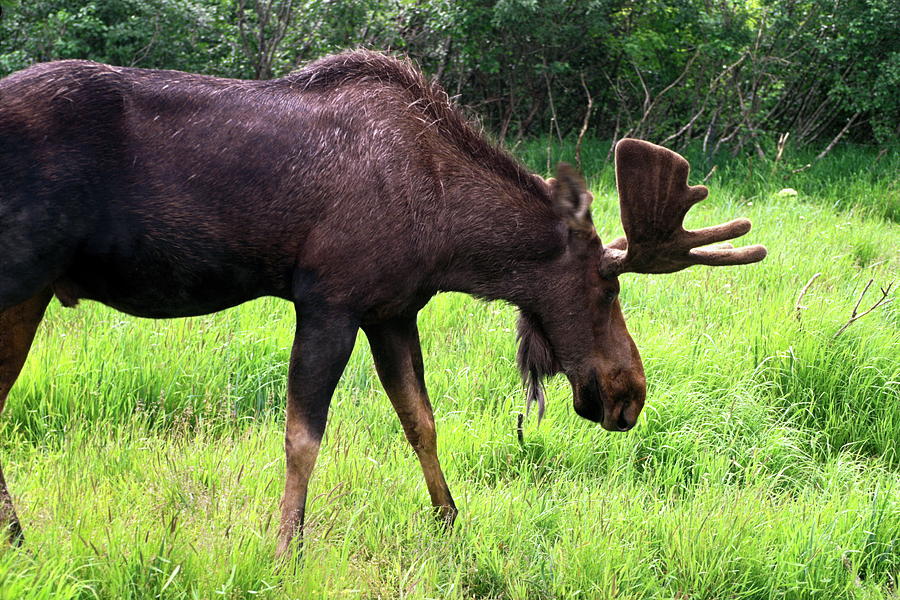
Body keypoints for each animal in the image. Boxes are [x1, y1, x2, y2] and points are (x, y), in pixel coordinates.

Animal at [0, 49, 768, 556]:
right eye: (608, 286)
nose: (630, 394)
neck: (449, 235)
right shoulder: (329, 301)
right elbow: (303, 437)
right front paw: (286, 549)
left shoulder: (393, 310)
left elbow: (421, 421)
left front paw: (452, 523)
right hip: (20, 275)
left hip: (27, 291)